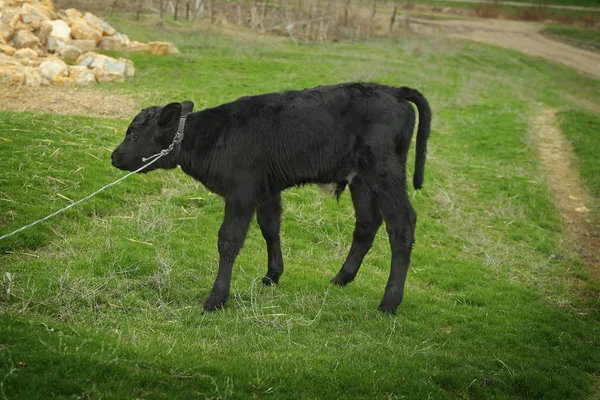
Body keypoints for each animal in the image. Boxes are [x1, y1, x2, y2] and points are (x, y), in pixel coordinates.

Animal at [112, 83, 432, 314]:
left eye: (133, 134)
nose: (114, 156)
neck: (213, 138)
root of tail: (393, 90)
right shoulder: (266, 190)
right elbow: (270, 228)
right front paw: (272, 275)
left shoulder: (241, 192)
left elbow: (228, 241)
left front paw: (216, 299)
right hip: (362, 179)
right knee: (366, 224)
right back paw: (342, 278)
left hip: (384, 171)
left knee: (402, 225)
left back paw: (389, 302)